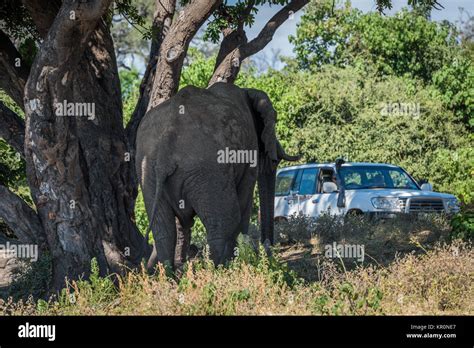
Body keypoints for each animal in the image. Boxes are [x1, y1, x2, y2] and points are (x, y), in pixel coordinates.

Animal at [137, 81, 298, 270]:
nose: (268, 248)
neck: (247, 92)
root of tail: (165, 144)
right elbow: (244, 198)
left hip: (148, 173)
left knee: (164, 231)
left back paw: (171, 274)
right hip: (206, 170)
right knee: (223, 222)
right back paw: (221, 270)